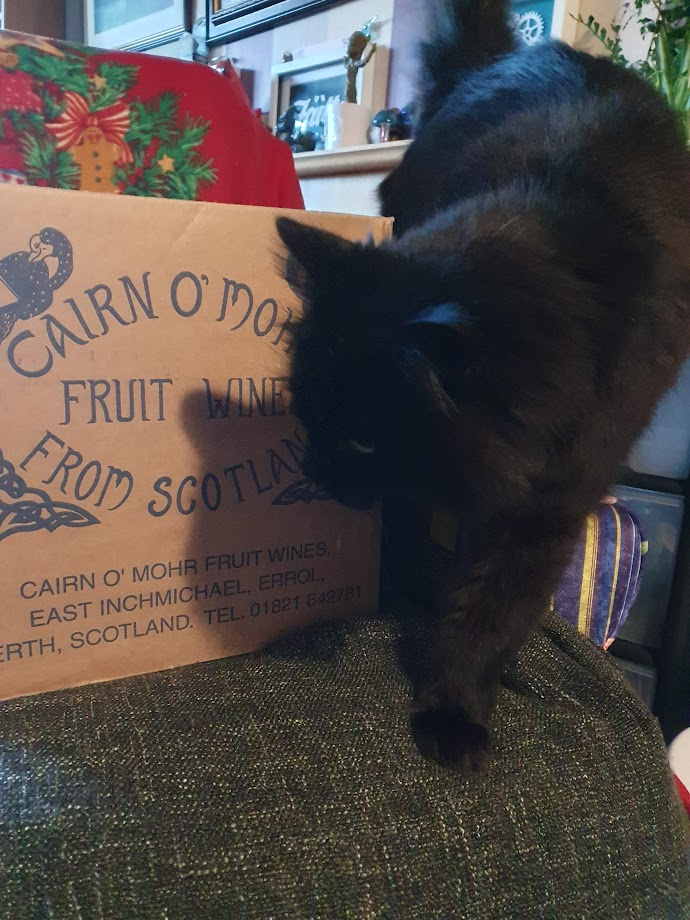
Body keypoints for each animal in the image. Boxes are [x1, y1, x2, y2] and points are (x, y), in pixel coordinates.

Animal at [276, 0, 688, 772]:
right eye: (305, 413)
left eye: (362, 439)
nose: (313, 471)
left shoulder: (555, 497)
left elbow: (494, 609)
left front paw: (454, 709)